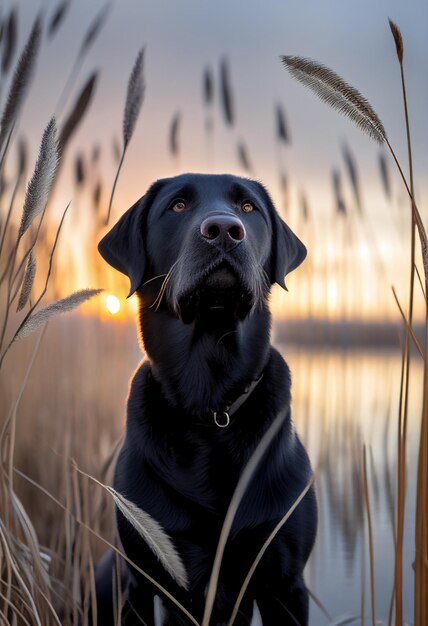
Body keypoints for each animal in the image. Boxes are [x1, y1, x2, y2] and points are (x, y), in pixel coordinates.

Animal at [97, 172, 318, 624]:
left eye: (248, 208)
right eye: (178, 206)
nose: (224, 230)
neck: (210, 405)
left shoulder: (286, 583)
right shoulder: (142, 578)